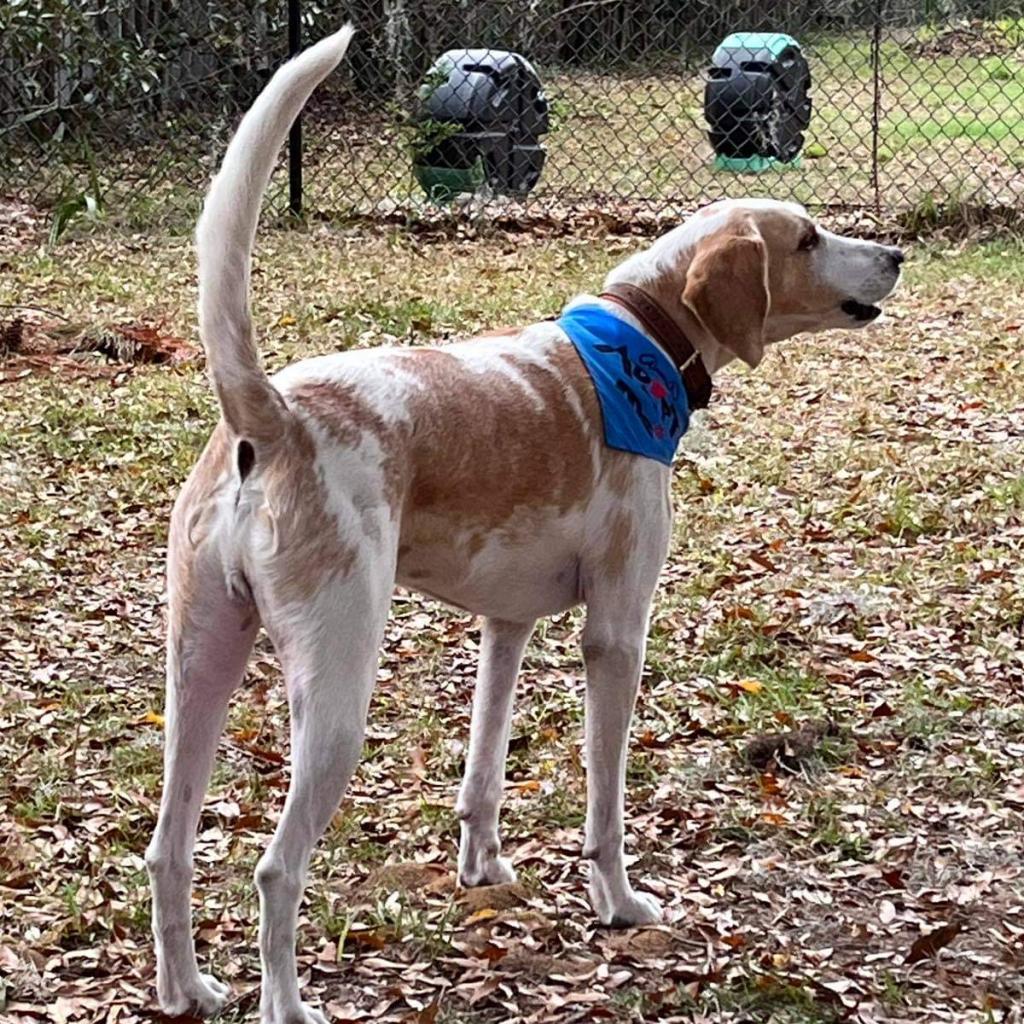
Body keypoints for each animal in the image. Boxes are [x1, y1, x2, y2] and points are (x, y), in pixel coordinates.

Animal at [146, 24, 905, 1024]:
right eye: (810, 236)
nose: (895, 254)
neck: (641, 336)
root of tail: (272, 415)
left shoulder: (503, 627)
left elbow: (483, 773)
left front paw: (485, 871)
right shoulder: (615, 635)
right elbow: (605, 803)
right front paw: (619, 903)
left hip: (201, 669)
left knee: (166, 850)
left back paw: (186, 988)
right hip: (336, 698)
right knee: (275, 872)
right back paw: (287, 1004)